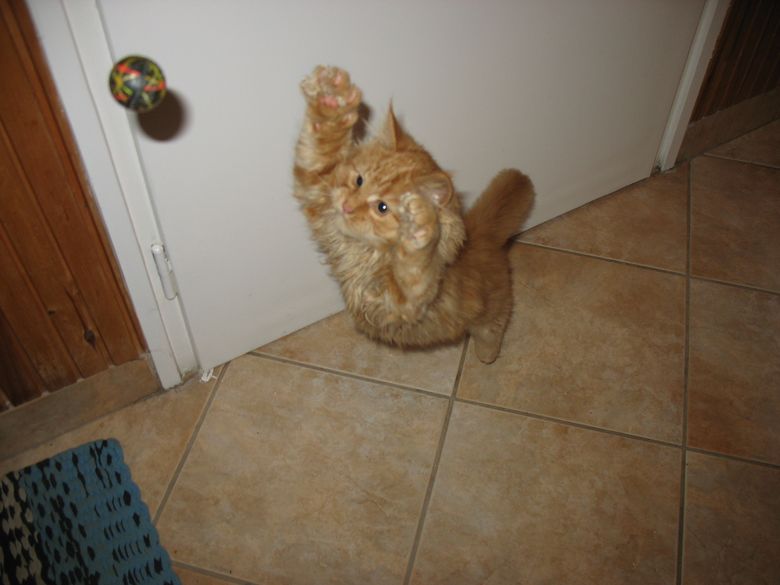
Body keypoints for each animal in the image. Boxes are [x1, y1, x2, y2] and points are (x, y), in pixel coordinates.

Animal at [293, 65, 534, 363]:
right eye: (359, 180)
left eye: (382, 208)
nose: (347, 206)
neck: (364, 252)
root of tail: (480, 235)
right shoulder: (317, 193)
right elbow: (319, 150)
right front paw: (332, 101)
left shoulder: (405, 302)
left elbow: (415, 270)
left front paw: (420, 220)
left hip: (492, 314)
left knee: (493, 330)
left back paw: (485, 354)